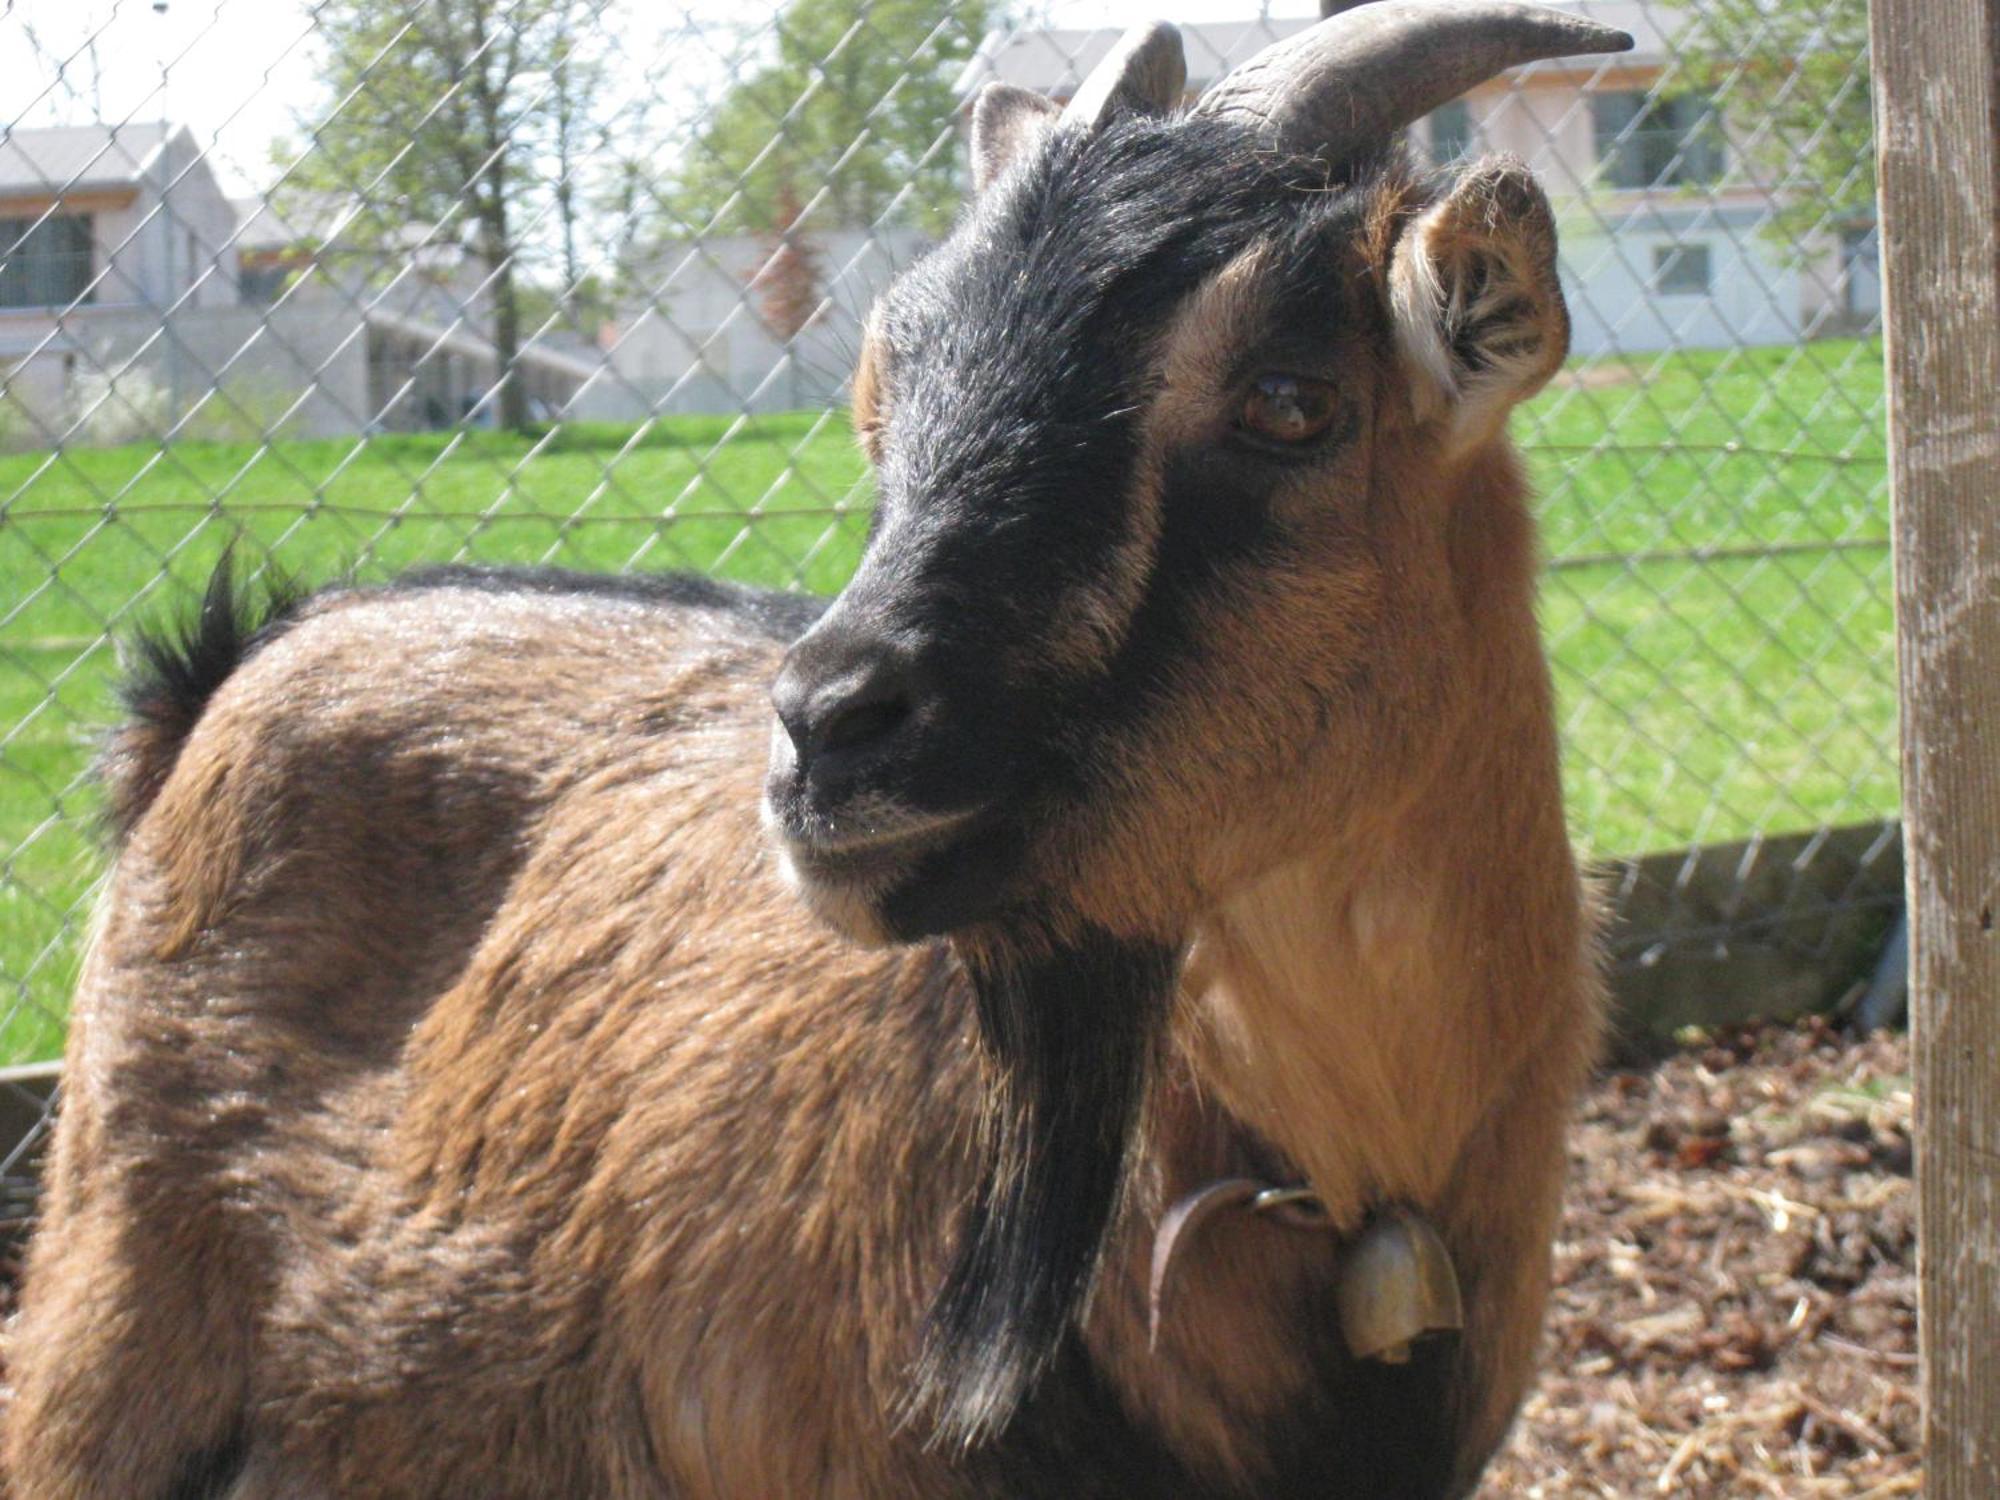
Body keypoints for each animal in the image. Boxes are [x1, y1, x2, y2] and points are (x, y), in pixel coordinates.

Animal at [3, 5, 1640, 1496]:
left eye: (1292, 400)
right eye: (882, 400)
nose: (823, 734)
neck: (1368, 1169)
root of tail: (238, 662)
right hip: (104, 1323)